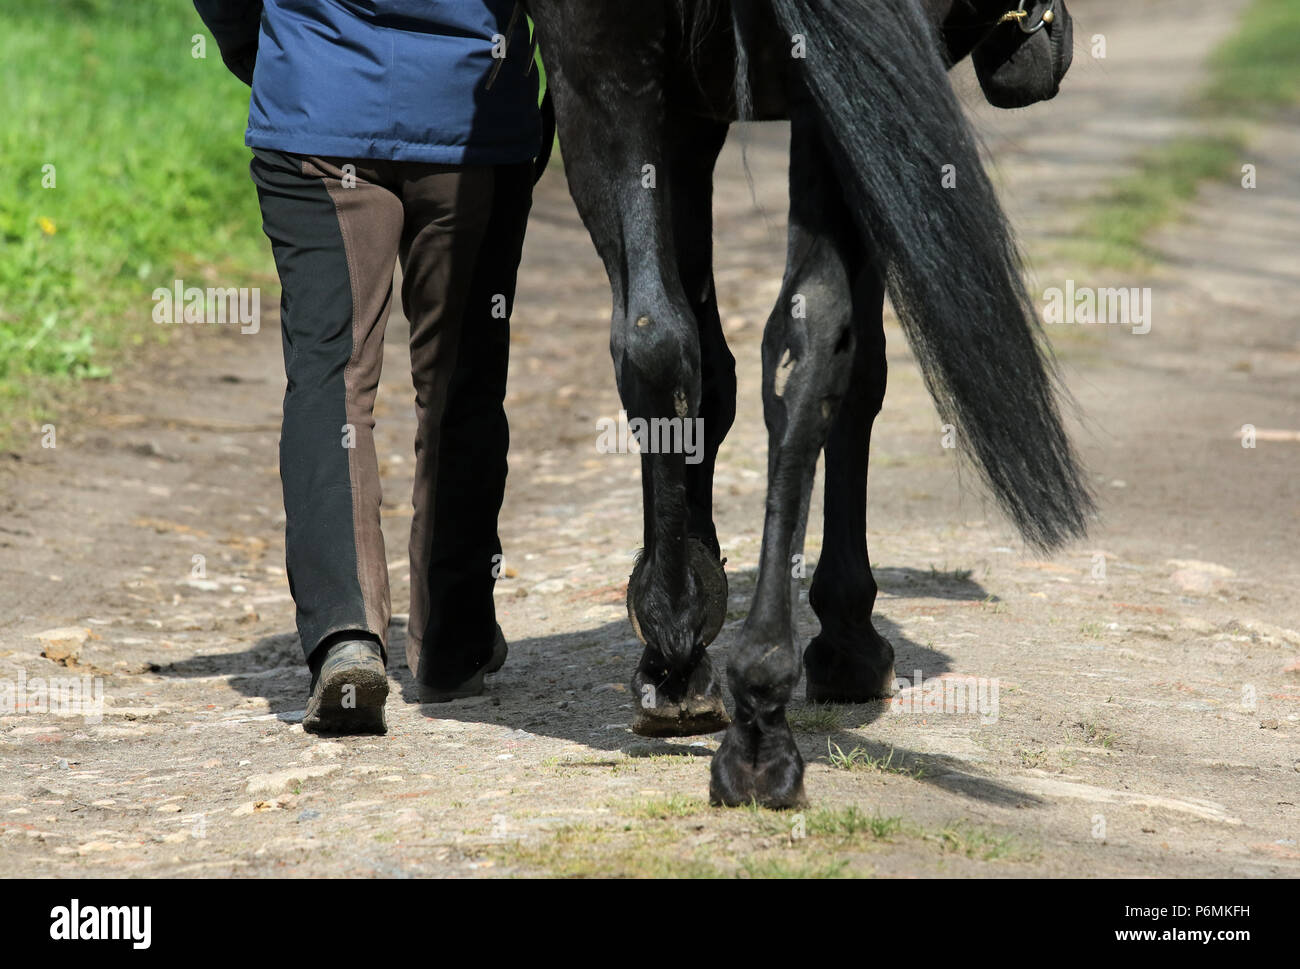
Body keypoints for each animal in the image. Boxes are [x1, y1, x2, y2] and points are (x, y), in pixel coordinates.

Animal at [522, 0, 1092, 806]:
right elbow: (856, 377)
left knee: (657, 338)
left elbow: (697, 363)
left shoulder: (684, 118)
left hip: (597, 73)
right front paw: (846, 637)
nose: (1046, 50)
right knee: (816, 341)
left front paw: (681, 629)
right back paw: (765, 715)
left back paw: (689, 664)